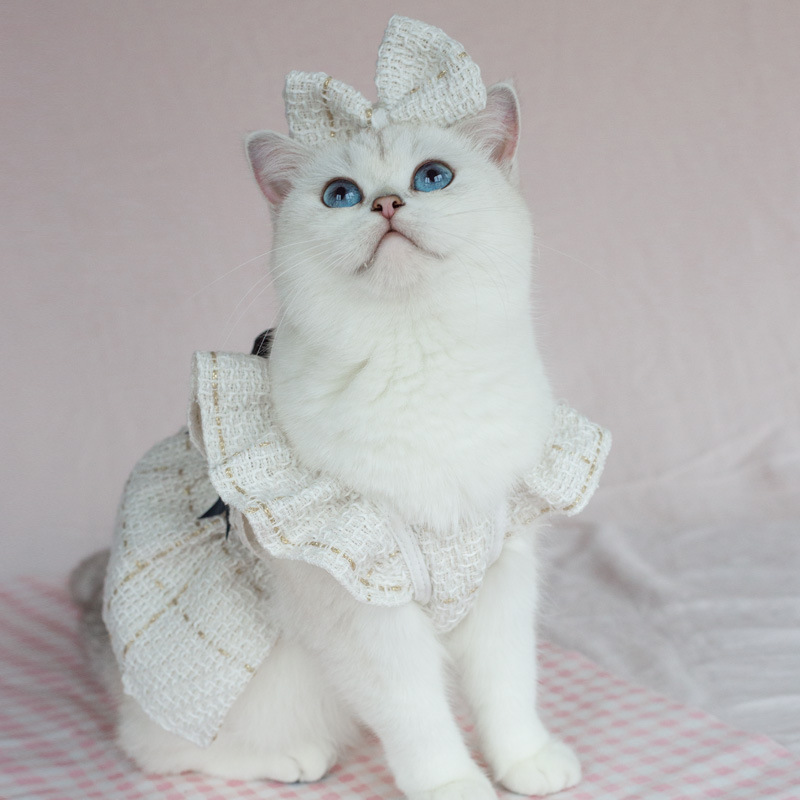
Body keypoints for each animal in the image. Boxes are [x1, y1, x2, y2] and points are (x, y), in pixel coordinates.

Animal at [73, 81, 580, 792]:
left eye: (434, 177)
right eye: (340, 194)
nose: (386, 202)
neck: (420, 359)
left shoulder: (502, 569)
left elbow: (508, 685)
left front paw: (526, 761)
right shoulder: (368, 611)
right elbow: (419, 715)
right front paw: (451, 784)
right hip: (260, 688)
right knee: (159, 747)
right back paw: (294, 761)